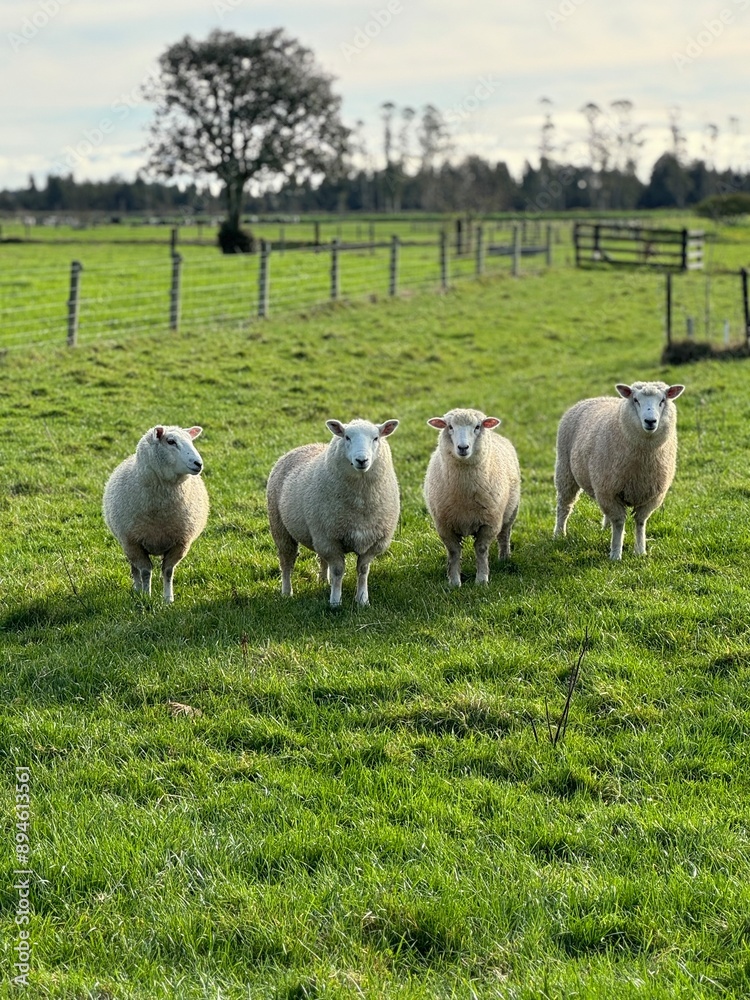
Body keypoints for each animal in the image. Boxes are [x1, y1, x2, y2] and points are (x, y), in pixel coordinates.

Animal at [103, 424, 209, 603]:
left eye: (191, 441)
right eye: (171, 441)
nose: (198, 464)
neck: (160, 513)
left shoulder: (180, 543)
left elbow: (168, 571)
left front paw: (168, 599)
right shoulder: (133, 542)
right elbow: (145, 572)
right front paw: (147, 596)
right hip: (127, 544)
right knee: (134, 568)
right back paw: (137, 590)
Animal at [266, 417, 400, 606]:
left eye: (376, 438)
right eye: (347, 437)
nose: (361, 460)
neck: (361, 503)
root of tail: (306, 445)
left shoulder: (373, 541)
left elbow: (363, 570)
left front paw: (362, 600)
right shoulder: (330, 540)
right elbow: (338, 571)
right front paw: (335, 602)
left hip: (318, 532)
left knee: (321, 558)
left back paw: (323, 581)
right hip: (281, 528)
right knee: (286, 562)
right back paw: (286, 592)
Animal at [423, 408, 521, 587]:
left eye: (477, 427)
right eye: (450, 427)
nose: (463, 447)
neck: (464, 496)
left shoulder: (489, 523)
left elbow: (481, 549)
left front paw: (481, 580)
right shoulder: (444, 525)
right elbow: (454, 552)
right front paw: (454, 582)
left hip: (511, 511)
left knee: (504, 535)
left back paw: (504, 558)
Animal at [554, 381, 685, 560]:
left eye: (662, 400)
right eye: (635, 400)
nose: (650, 421)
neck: (644, 458)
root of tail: (596, 398)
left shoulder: (652, 495)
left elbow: (640, 522)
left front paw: (640, 551)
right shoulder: (608, 491)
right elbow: (619, 522)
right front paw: (616, 554)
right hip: (565, 470)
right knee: (564, 505)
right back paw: (559, 534)